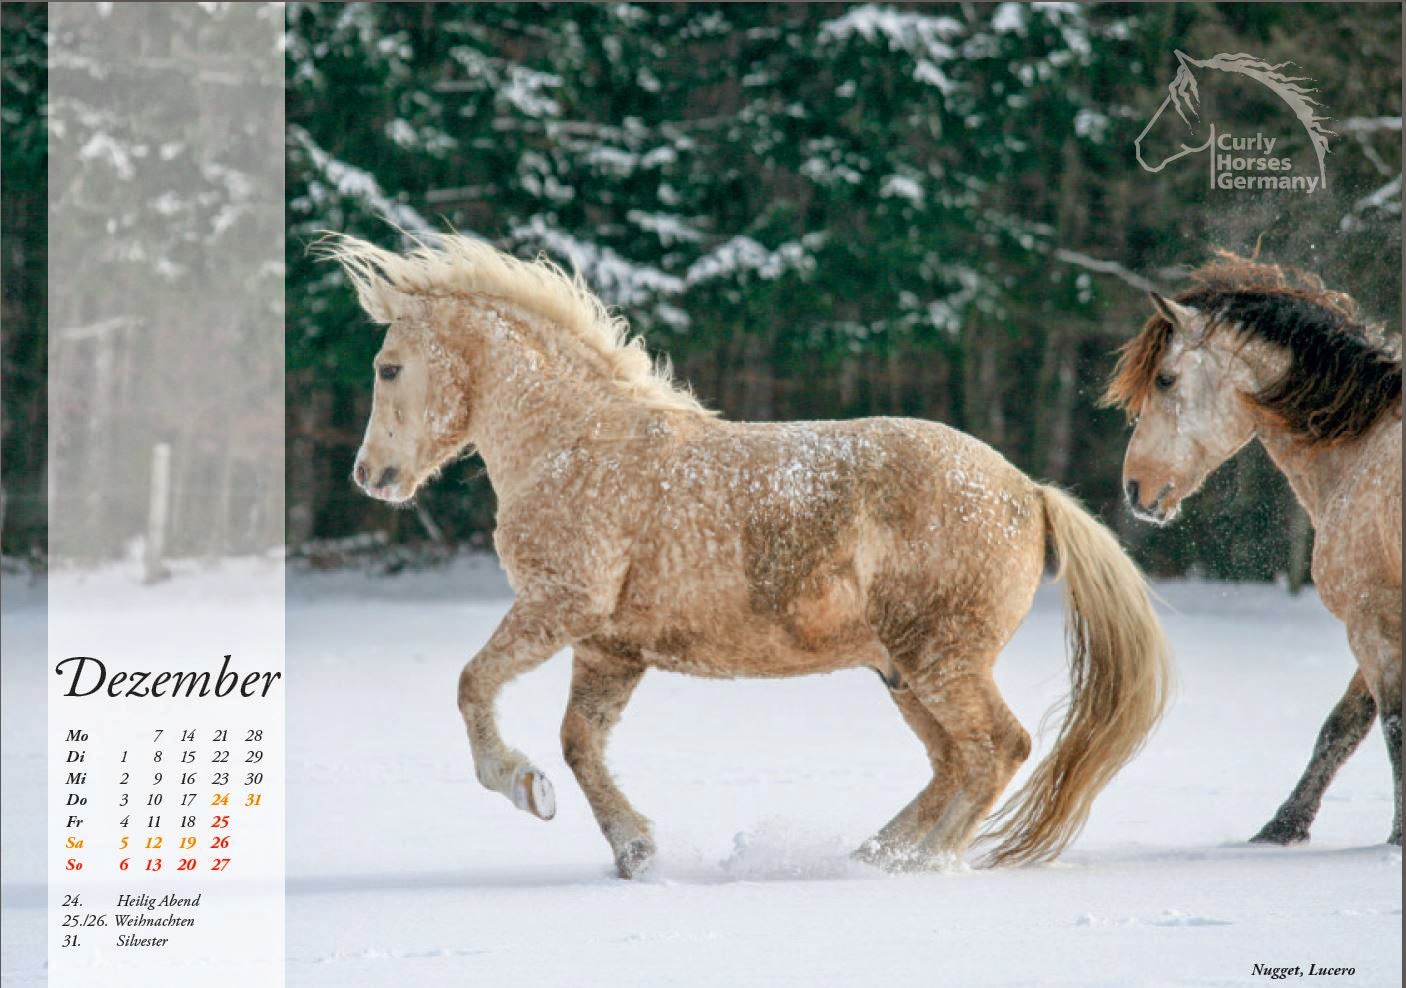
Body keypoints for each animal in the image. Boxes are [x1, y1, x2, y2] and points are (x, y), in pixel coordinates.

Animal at [323, 232, 1172, 878]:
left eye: (388, 368)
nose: (370, 475)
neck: (572, 445)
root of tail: (1030, 492)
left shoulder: (559, 606)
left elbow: (474, 685)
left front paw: (522, 786)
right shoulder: (608, 647)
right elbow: (579, 745)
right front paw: (634, 850)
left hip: (942, 659)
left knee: (998, 748)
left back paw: (921, 864)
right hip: (904, 671)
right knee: (953, 763)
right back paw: (874, 854)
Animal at [1104, 252, 1402, 846]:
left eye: (1165, 379)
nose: (1135, 489)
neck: (1364, 448)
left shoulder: (1372, 618)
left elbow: (1389, 727)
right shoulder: (1377, 620)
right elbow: (1342, 726)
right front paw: (1284, 827)